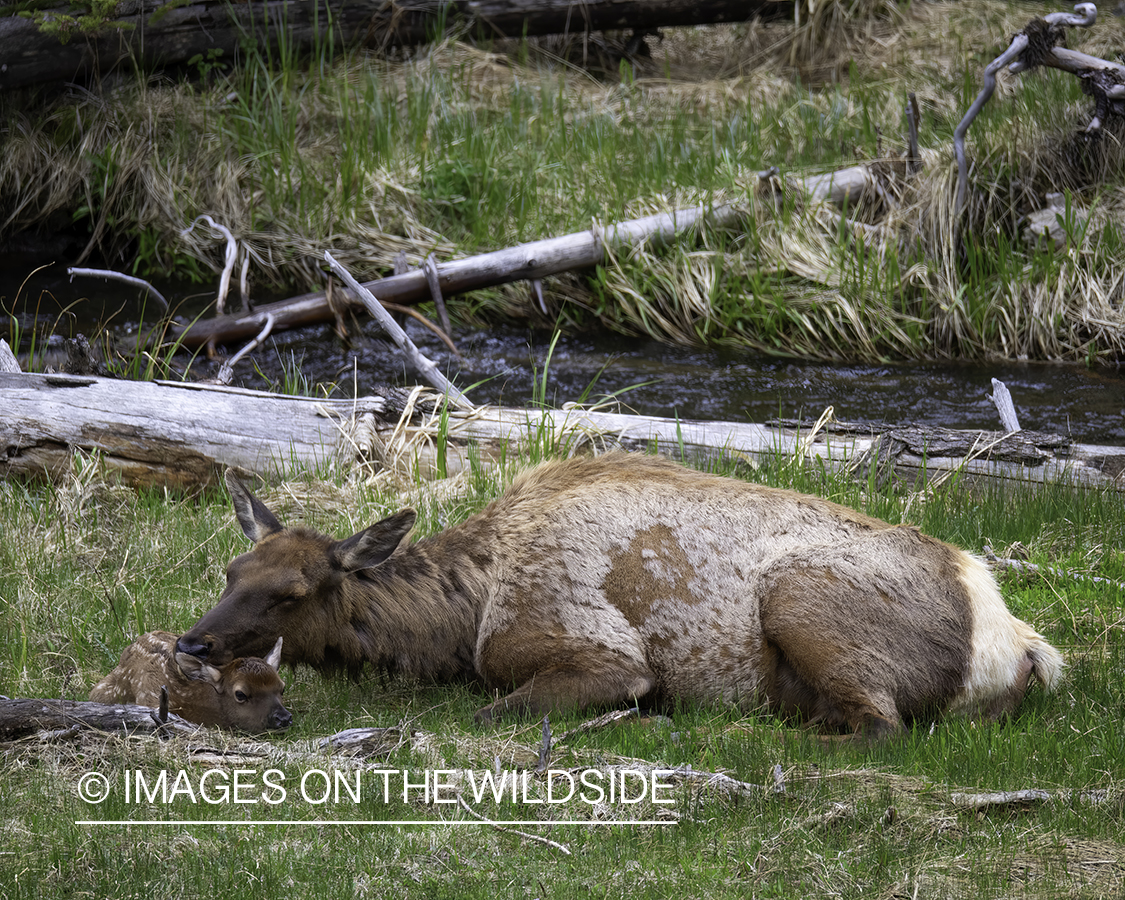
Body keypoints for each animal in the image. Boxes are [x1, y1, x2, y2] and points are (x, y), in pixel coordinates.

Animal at [171, 454, 1057, 733]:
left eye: (291, 592)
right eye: (230, 572)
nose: (192, 641)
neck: (458, 618)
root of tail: (1016, 644)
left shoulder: (598, 652)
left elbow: (495, 709)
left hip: (801, 598)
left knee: (877, 724)